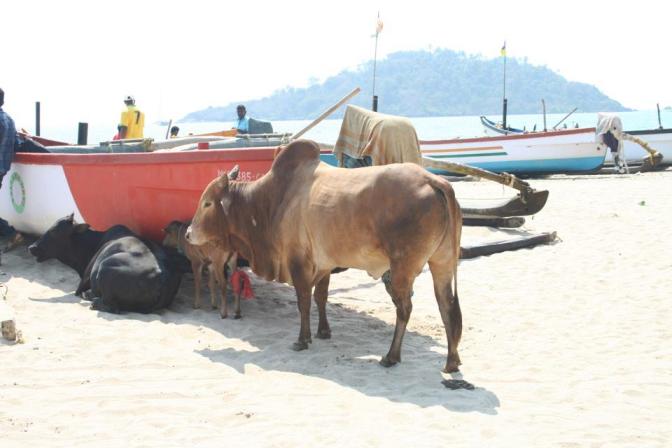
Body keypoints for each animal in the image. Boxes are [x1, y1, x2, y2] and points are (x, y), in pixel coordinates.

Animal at [28, 214, 185, 314]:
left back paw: (92, 298)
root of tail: (162, 276)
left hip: (104, 267)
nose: (32, 247)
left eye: (54, 231)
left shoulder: (85, 277)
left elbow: (78, 291)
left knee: (111, 307)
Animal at [186, 139, 463, 373]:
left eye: (207, 203)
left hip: (402, 269)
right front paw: (322, 332)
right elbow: (320, 297)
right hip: (442, 263)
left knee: (405, 308)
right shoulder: (324, 264)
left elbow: (303, 302)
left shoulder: (297, 261)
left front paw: (302, 340)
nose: (188, 233)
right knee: (447, 306)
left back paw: (391, 356)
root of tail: (435, 181)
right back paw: (451, 362)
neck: (270, 201)